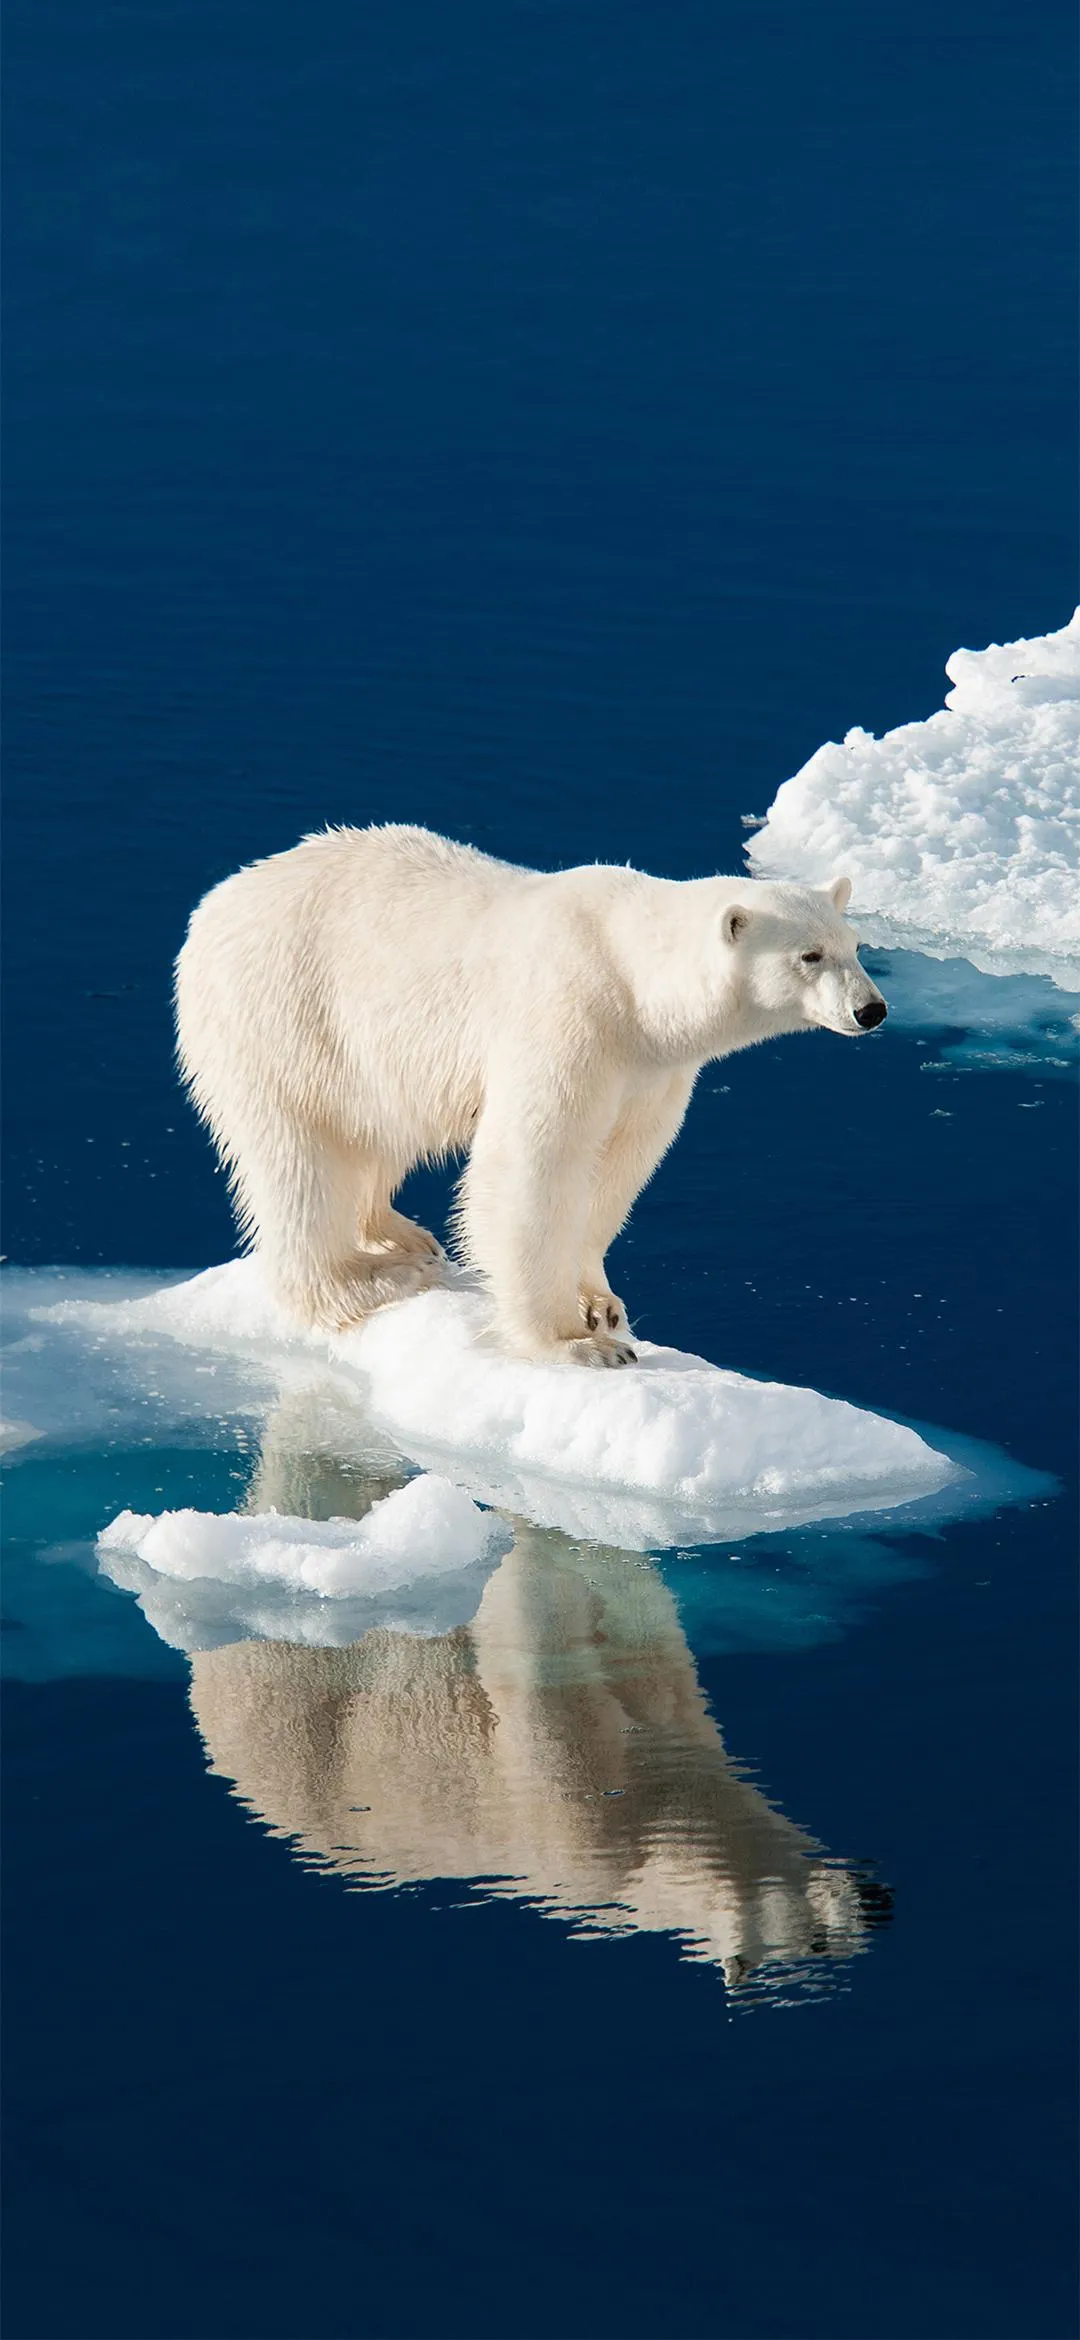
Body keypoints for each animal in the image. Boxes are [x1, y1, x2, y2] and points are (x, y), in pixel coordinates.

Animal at [174, 824, 886, 1363]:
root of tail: (216, 901)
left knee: (379, 1131)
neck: (632, 980)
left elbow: (619, 1165)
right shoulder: (571, 1018)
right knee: (302, 1159)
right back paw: (370, 1283)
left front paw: (601, 1304)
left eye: (855, 946)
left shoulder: (652, 1070)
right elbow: (534, 1165)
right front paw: (578, 1344)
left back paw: (402, 1237)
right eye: (809, 955)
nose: (872, 1010)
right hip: (284, 1014)